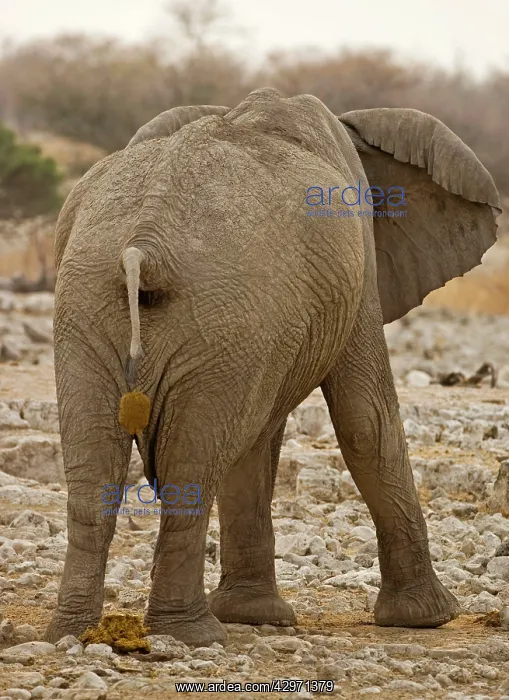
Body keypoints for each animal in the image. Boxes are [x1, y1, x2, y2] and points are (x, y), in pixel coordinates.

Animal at [44, 87, 501, 647]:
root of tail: (145, 244)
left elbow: (259, 439)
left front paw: (254, 615)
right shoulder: (356, 270)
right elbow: (365, 419)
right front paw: (431, 618)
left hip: (95, 307)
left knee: (98, 476)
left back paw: (74, 632)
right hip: (211, 317)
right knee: (192, 466)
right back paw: (192, 636)